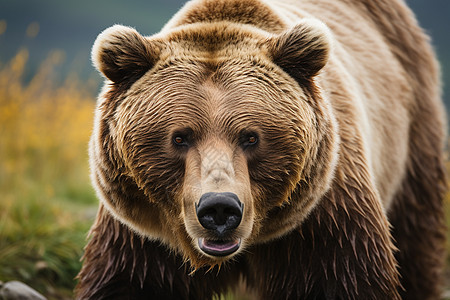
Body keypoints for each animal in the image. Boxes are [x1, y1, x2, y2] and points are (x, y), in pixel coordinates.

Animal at [74, 0, 446, 298]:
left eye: (250, 137)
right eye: (180, 137)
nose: (219, 208)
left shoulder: (327, 221)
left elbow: (345, 279)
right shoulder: (142, 238)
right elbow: (125, 281)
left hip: (413, 137)